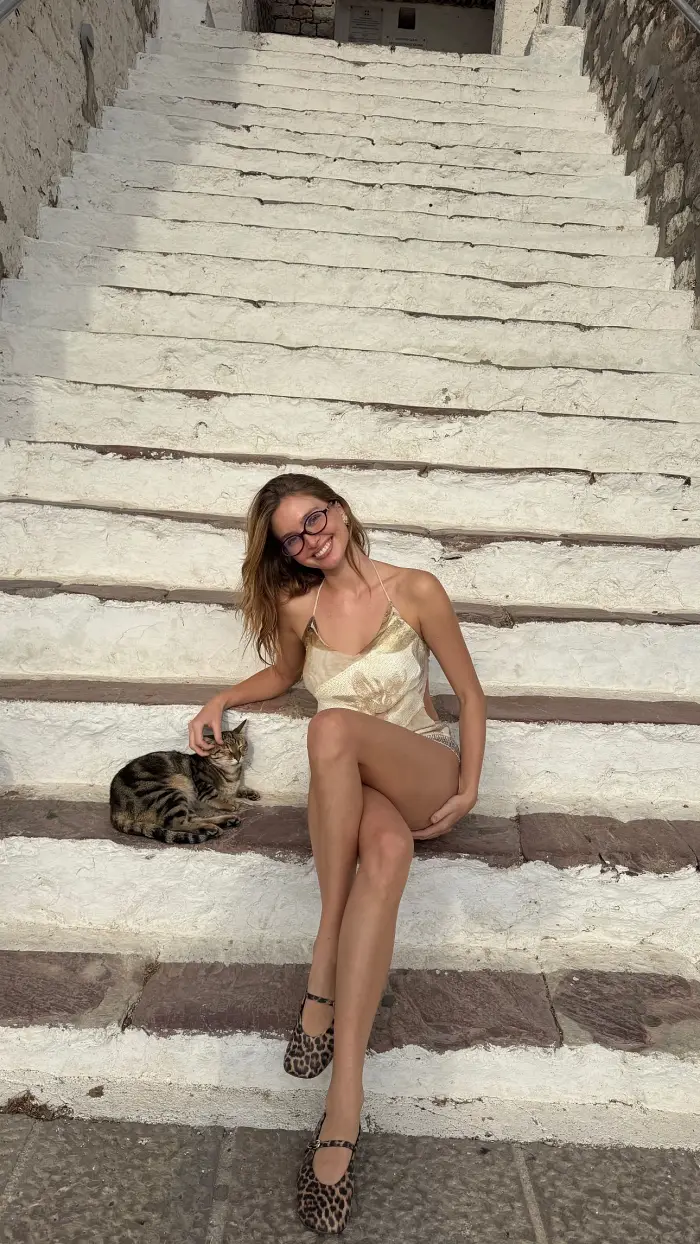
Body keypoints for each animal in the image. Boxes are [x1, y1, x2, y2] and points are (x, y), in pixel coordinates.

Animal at [109, 720, 259, 845]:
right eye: (226, 749)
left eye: (241, 746)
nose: (238, 757)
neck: (232, 772)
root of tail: (115, 809)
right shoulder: (203, 787)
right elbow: (217, 795)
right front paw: (231, 802)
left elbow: (238, 788)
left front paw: (249, 792)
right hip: (170, 794)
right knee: (175, 824)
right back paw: (211, 828)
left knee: (191, 819)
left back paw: (226, 821)